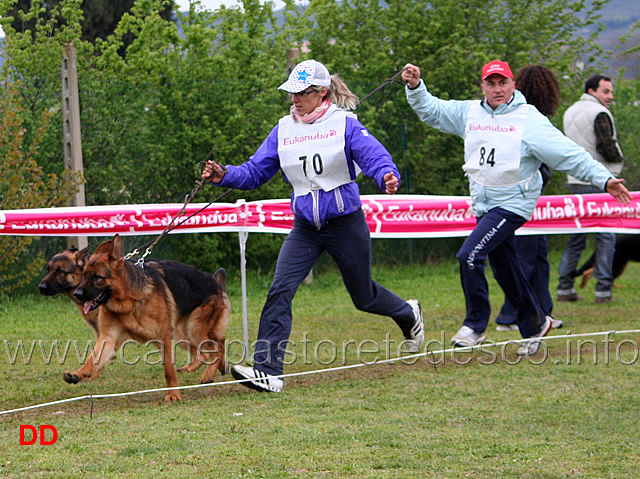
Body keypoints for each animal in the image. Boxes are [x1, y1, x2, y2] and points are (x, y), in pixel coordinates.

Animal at [64, 234, 230, 404]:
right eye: (84, 275)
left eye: (97, 277)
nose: (77, 294)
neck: (129, 301)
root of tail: (216, 283)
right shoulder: (108, 337)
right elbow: (93, 358)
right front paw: (79, 374)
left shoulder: (164, 337)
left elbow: (168, 370)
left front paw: (173, 395)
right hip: (183, 332)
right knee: (214, 346)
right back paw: (217, 368)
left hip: (195, 329)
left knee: (217, 347)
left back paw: (209, 374)